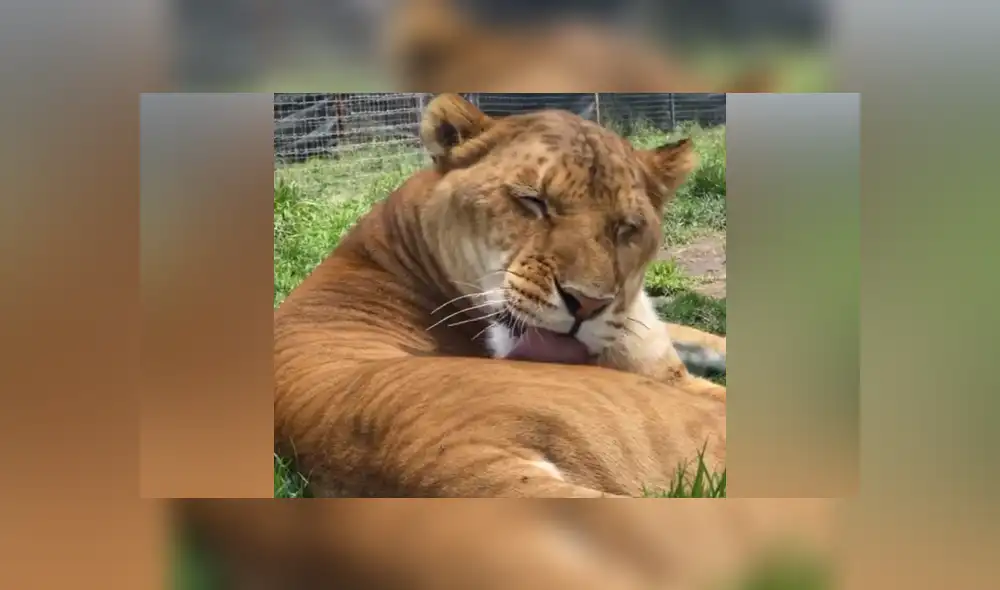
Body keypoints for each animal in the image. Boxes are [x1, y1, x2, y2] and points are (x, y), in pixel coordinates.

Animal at [273, 93, 727, 498]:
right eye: (532, 201)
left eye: (626, 227)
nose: (588, 304)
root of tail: (452, 459)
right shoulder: (667, 379)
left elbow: (702, 337)